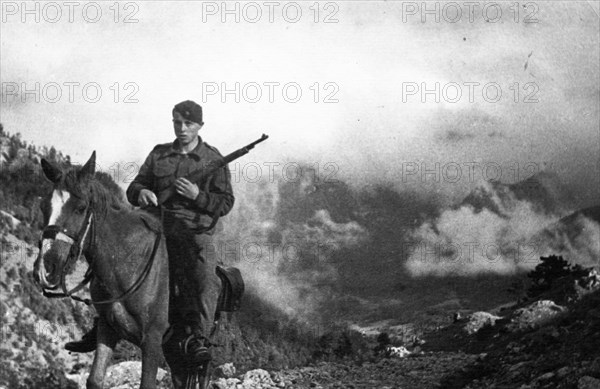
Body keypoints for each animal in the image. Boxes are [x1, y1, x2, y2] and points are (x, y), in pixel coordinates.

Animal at [32, 152, 212, 388]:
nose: (46, 268)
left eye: (81, 208)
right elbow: (95, 379)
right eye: (44, 207)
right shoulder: (107, 329)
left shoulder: (152, 340)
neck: (127, 263)